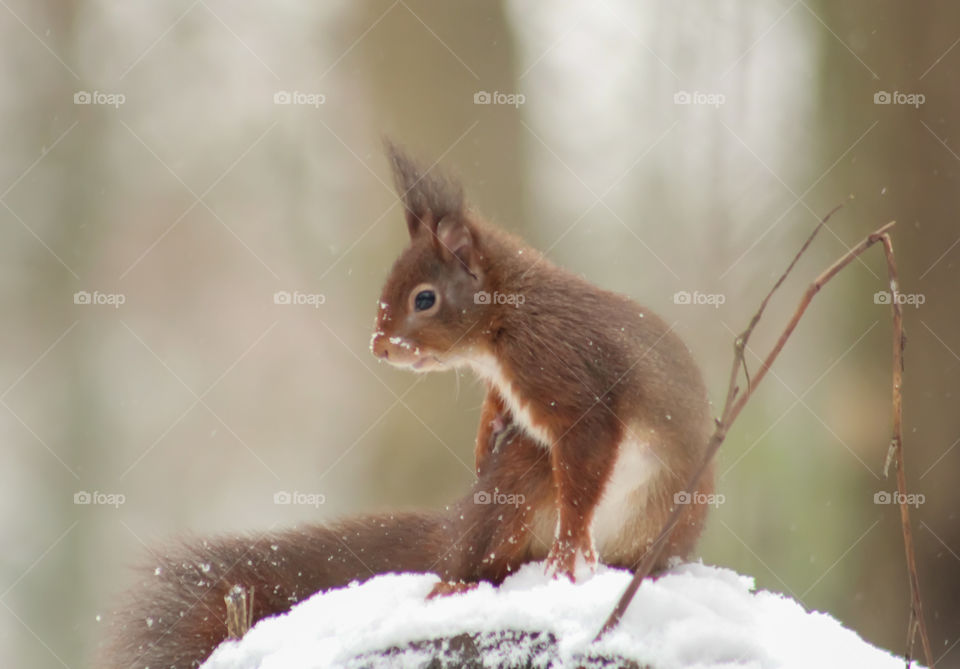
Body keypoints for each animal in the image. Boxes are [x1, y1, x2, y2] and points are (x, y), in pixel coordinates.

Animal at [372, 144, 716, 580]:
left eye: (424, 299)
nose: (379, 346)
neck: (509, 317)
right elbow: (496, 405)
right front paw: (484, 438)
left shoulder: (564, 370)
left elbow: (585, 458)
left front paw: (569, 542)